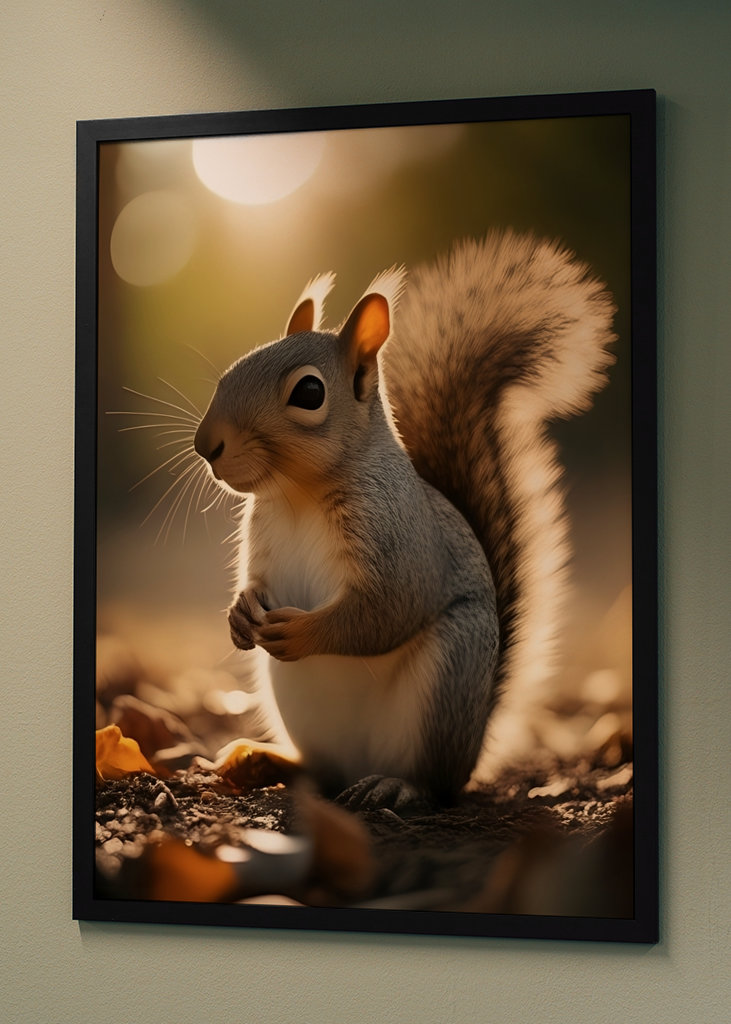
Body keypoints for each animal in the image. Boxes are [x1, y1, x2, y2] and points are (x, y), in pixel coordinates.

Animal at [194, 231, 616, 804]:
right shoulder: (260, 538)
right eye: (232, 370)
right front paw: (239, 615)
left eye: (309, 393)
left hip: (446, 683)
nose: (205, 444)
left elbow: (388, 609)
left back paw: (397, 787)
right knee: (316, 770)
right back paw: (258, 759)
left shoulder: (400, 536)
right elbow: (254, 582)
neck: (300, 495)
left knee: (432, 781)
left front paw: (303, 634)